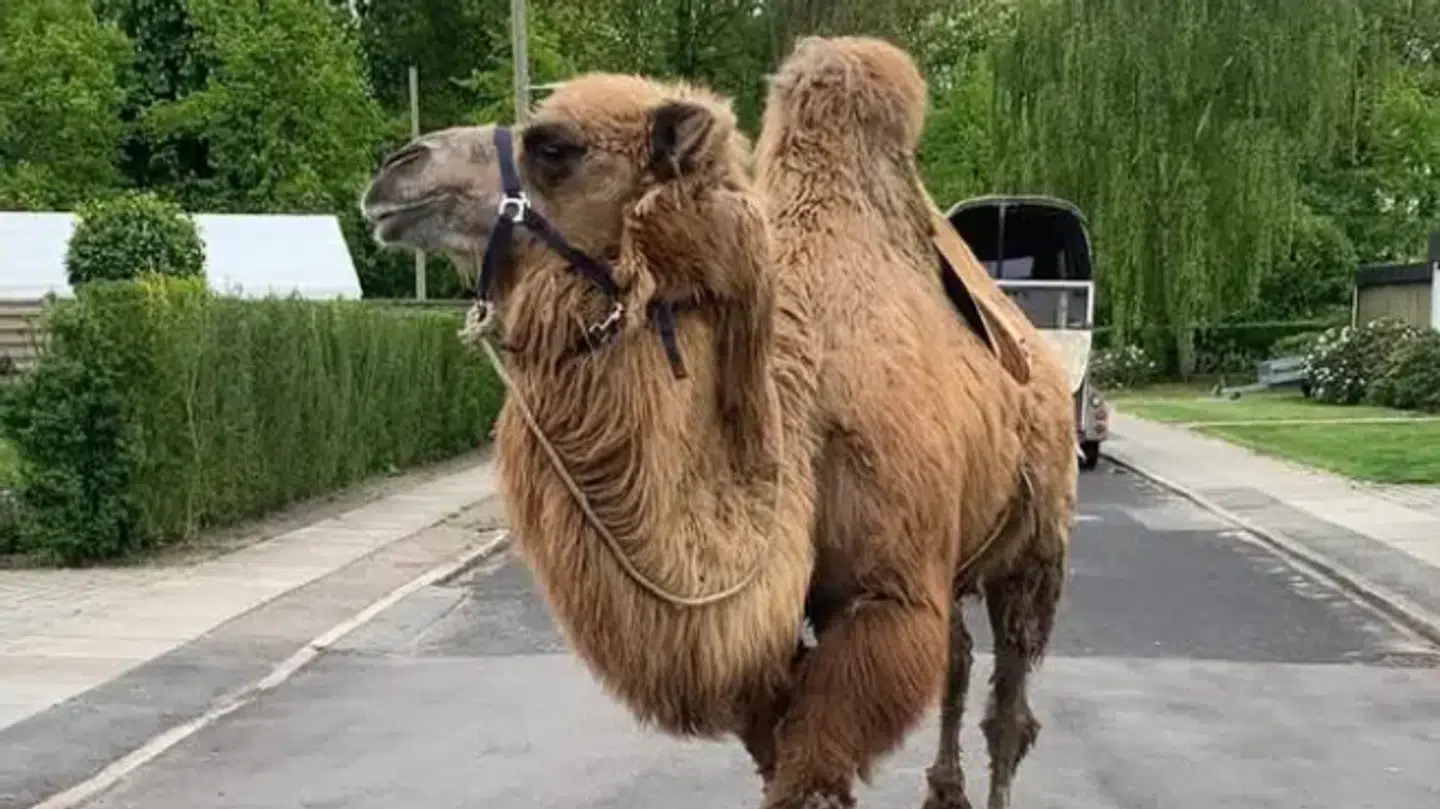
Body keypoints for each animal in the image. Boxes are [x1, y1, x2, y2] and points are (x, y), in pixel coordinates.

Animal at [358, 39, 1074, 809]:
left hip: (1037, 543)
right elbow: (781, 755)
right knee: (960, 660)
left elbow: (811, 772)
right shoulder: (763, 641)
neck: (796, 420)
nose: (397, 168)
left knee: (1009, 703)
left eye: (554, 146)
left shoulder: (889, 598)